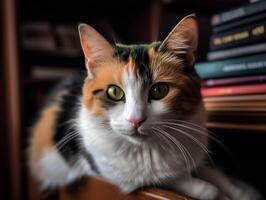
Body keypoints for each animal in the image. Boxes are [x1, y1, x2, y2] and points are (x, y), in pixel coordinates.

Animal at [28, 14, 262, 199]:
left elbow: (217, 174)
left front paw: (244, 191)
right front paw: (214, 192)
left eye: (159, 90)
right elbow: (191, 184)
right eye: (114, 92)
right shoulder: (114, 173)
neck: (148, 150)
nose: (136, 120)